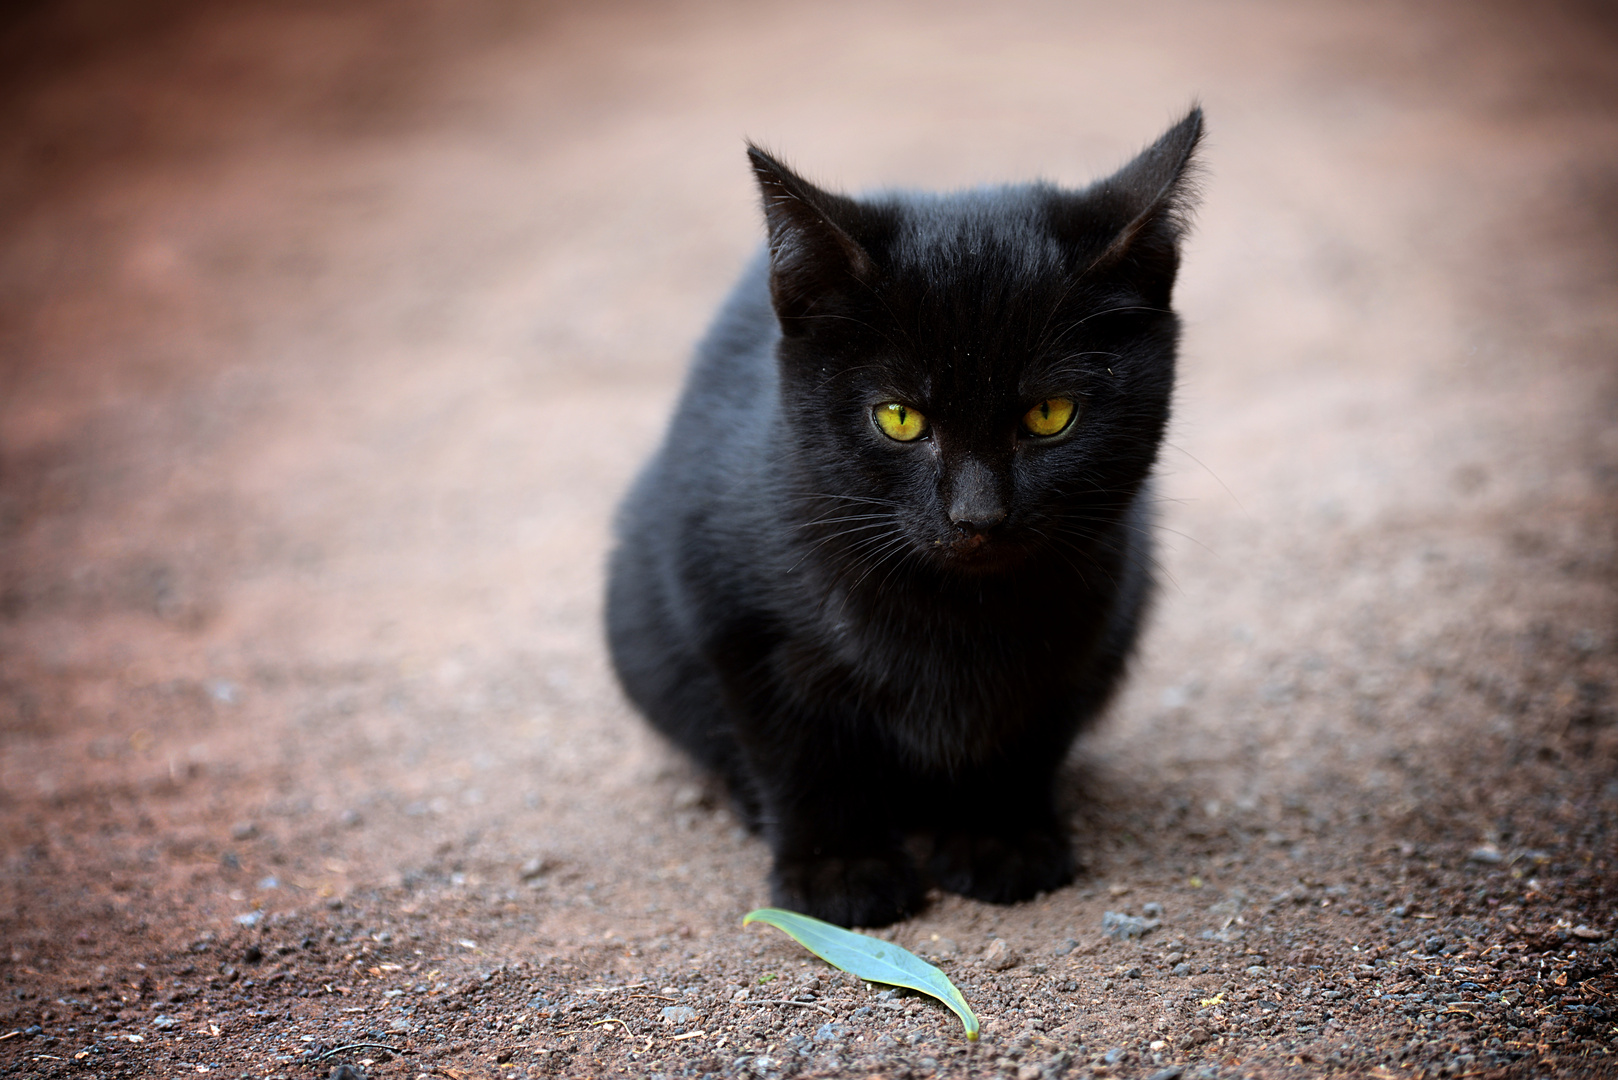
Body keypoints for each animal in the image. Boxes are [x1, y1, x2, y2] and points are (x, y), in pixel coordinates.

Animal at [608, 107, 1203, 932]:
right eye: (898, 418)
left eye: (1050, 415)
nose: (977, 512)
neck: (953, 611)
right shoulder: (733, 615)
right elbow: (797, 747)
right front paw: (837, 869)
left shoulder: (1089, 619)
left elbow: (1024, 727)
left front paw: (998, 836)